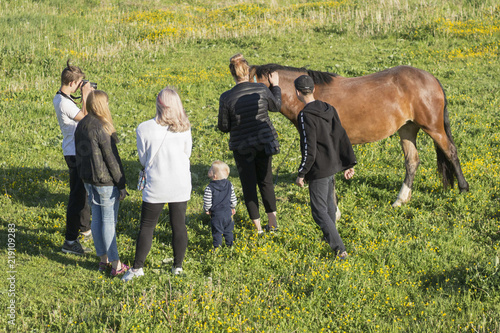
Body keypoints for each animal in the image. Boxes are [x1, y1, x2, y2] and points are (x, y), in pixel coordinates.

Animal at [252, 63, 470, 206]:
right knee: (412, 162)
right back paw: (400, 200)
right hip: (407, 129)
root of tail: (431, 78)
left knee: (451, 151)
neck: (314, 98)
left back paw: (463, 188)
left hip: (433, 128)